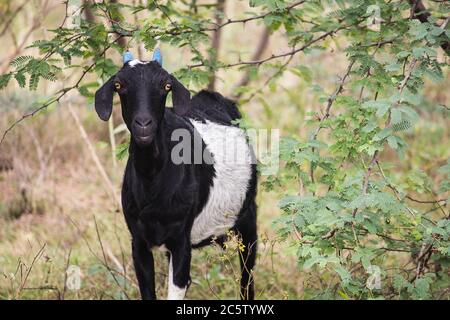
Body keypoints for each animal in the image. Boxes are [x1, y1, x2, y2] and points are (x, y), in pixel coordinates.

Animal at [94, 52, 256, 300]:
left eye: (166, 86)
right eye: (119, 85)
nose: (143, 125)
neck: (152, 180)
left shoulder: (181, 240)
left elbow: (177, 285)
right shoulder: (138, 241)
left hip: (247, 216)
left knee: (247, 276)